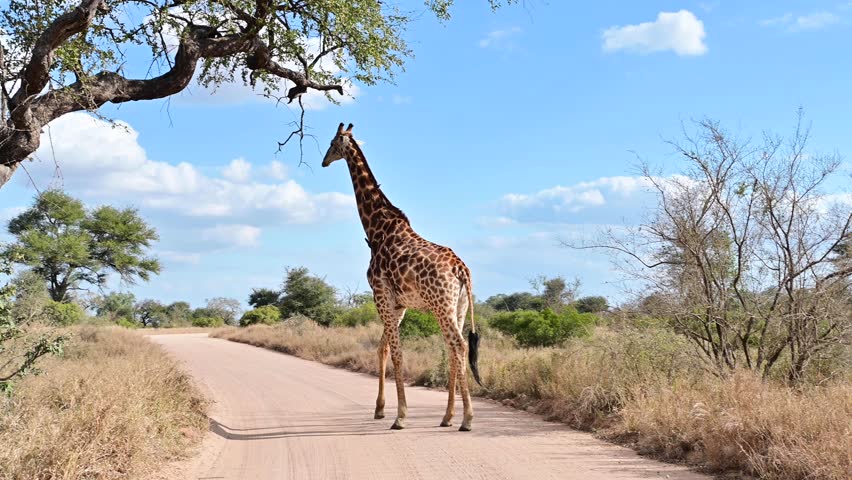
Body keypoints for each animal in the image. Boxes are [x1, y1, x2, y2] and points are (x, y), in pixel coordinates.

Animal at [322, 123, 482, 432]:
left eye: (333, 143)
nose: (324, 161)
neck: (376, 229)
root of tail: (462, 270)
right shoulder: (398, 304)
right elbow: (382, 348)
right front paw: (380, 409)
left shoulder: (381, 295)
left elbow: (396, 352)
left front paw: (400, 416)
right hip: (458, 306)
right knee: (454, 349)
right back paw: (447, 417)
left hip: (441, 305)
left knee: (457, 346)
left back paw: (467, 419)